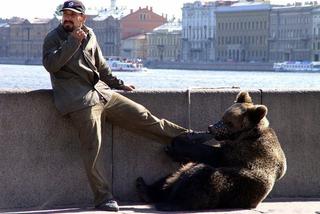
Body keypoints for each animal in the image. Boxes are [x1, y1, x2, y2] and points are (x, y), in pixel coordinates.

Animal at [136, 91, 286, 211]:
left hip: (237, 186)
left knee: (200, 176)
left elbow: (213, 154)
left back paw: (172, 203)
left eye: (229, 122)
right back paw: (145, 189)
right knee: (173, 176)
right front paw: (172, 149)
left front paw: (179, 143)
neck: (244, 135)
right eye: (222, 117)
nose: (211, 127)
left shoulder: (245, 151)